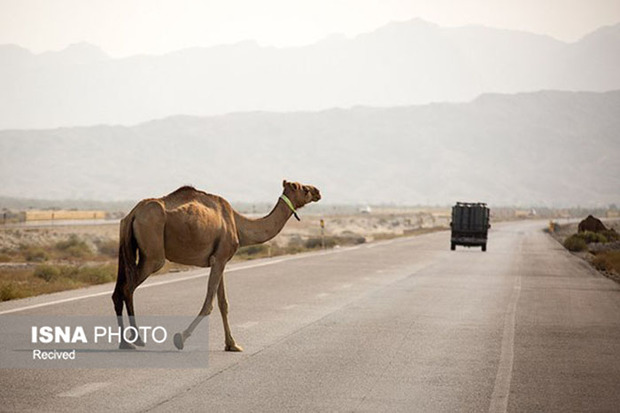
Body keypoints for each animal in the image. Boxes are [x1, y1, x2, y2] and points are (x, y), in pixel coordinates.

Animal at [112, 179, 322, 350]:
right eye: (303, 188)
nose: (318, 191)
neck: (238, 224)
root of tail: (132, 214)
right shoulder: (220, 258)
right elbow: (209, 304)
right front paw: (181, 338)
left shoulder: (220, 260)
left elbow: (223, 303)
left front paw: (232, 344)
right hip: (153, 253)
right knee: (128, 288)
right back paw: (136, 340)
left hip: (129, 247)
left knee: (118, 291)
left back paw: (125, 342)